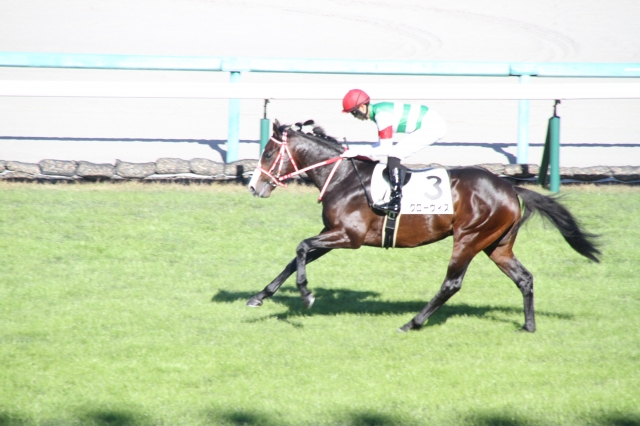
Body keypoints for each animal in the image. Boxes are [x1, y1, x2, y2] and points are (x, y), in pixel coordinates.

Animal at [247, 120, 601, 333]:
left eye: (268, 153)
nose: (253, 187)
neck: (344, 179)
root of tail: (512, 188)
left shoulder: (349, 236)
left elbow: (301, 247)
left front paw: (306, 295)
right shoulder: (332, 234)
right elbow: (296, 257)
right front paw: (259, 297)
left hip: (469, 238)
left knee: (452, 283)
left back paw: (413, 322)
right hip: (496, 245)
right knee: (524, 278)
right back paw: (528, 325)